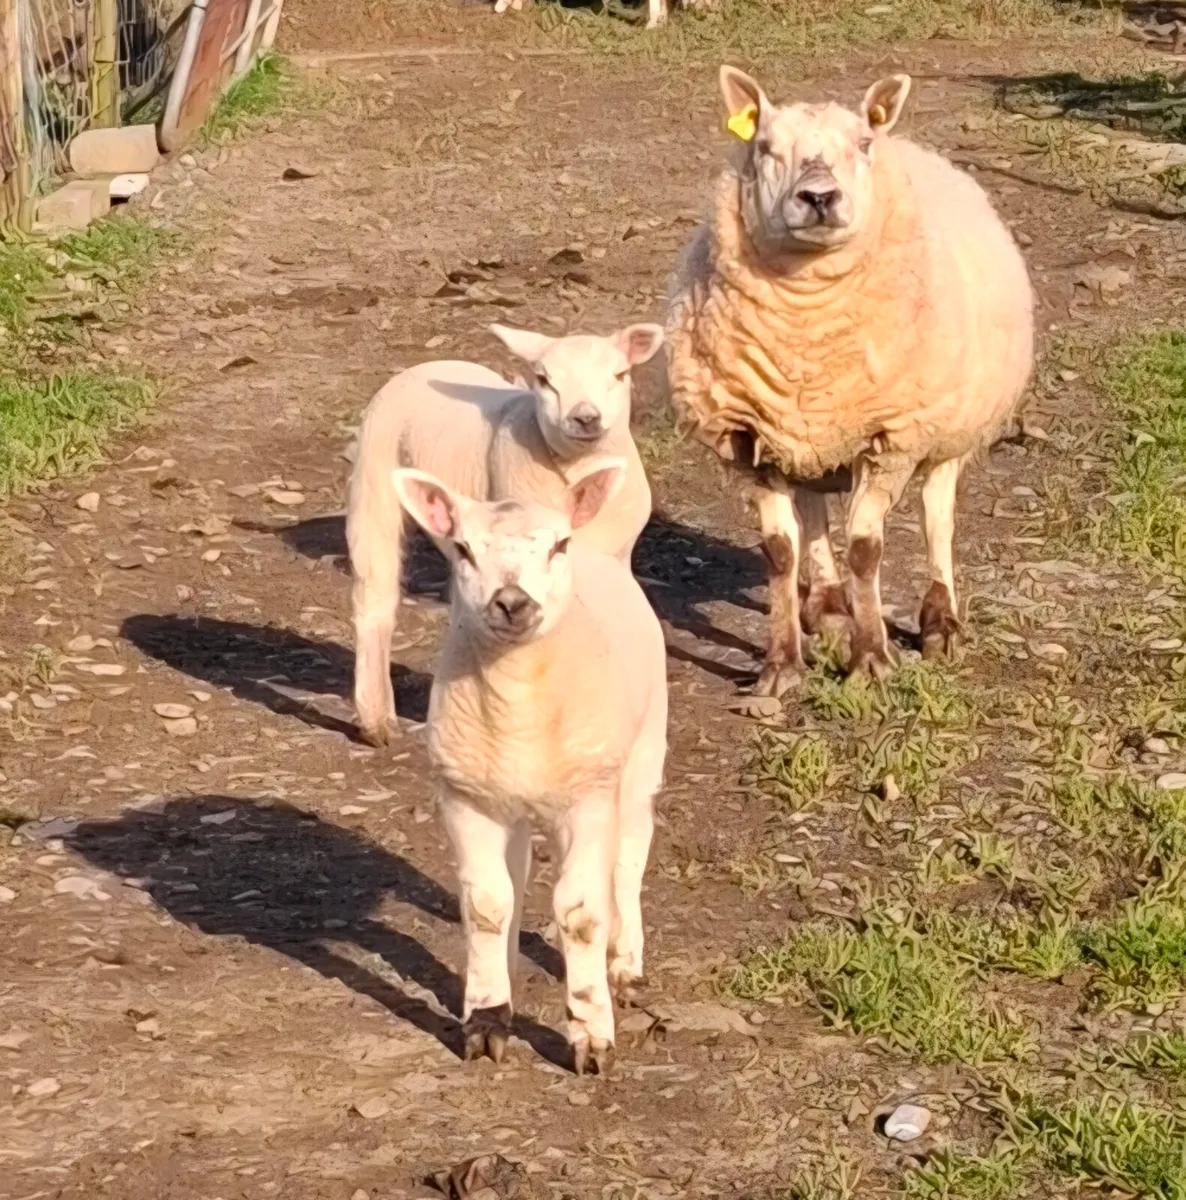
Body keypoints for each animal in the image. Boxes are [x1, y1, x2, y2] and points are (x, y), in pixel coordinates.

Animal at [347, 322, 664, 748]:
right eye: (544, 380)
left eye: (620, 375)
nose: (585, 418)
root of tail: (424, 365)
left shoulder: (616, 556)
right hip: (374, 482)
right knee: (375, 598)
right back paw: (376, 720)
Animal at [391, 458, 668, 1074]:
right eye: (463, 549)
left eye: (558, 545)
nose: (512, 602)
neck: (518, 703)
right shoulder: (466, 797)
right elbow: (487, 905)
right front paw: (487, 1021)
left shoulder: (588, 798)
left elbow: (580, 910)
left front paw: (591, 1037)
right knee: (515, 877)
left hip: (639, 759)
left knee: (627, 860)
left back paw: (624, 961)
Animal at [666, 67, 1034, 695]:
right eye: (764, 146)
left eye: (862, 144)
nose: (818, 196)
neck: (808, 331)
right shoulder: (750, 438)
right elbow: (779, 552)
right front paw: (781, 666)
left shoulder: (893, 437)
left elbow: (866, 549)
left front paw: (872, 660)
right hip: (810, 439)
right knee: (813, 512)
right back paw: (827, 606)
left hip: (950, 425)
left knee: (937, 511)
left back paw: (939, 620)